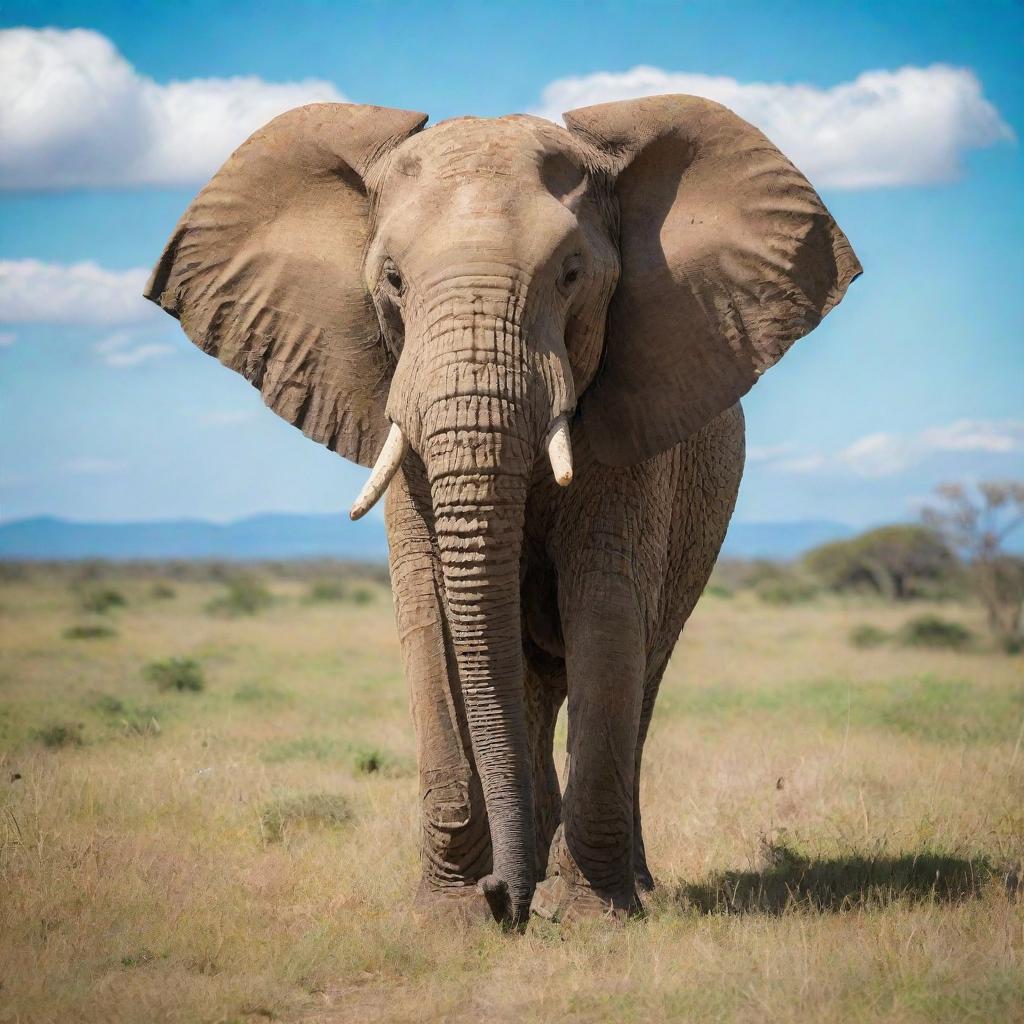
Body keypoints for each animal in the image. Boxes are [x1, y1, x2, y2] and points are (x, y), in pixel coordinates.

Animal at [144, 96, 860, 929]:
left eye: (572, 275)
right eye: (392, 279)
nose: (502, 902)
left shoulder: (639, 417)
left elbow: (605, 608)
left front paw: (593, 919)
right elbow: (430, 614)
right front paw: (451, 914)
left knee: (642, 672)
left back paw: (616, 884)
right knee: (529, 681)